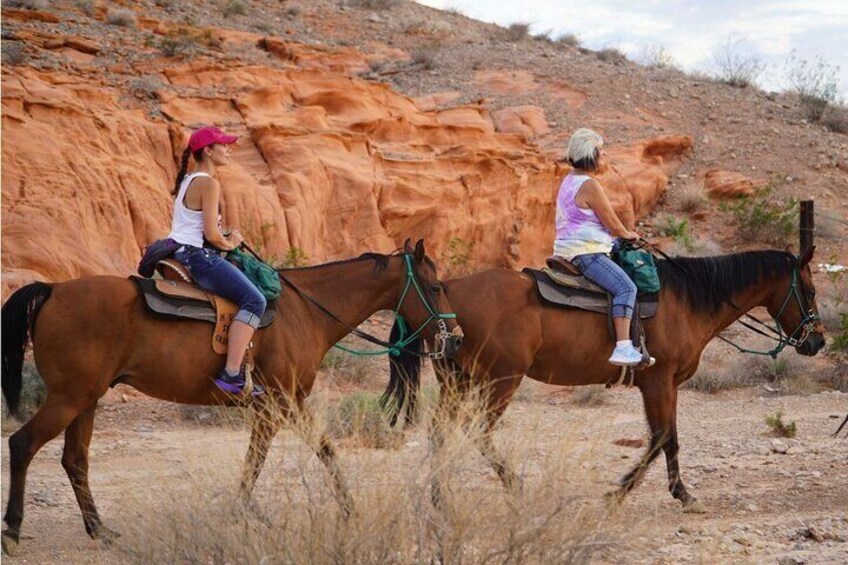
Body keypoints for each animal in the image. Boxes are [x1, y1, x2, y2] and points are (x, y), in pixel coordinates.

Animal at [1, 238, 464, 556]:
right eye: (435, 287)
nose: (457, 339)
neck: (306, 311)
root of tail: (54, 289)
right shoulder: (283, 402)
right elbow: (305, 453)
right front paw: (345, 508)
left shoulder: (275, 406)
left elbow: (275, 456)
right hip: (68, 398)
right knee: (22, 444)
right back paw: (13, 531)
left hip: (86, 400)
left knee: (75, 460)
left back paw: (100, 530)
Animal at [382, 247, 820, 512]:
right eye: (812, 291)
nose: (817, 340)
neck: (685, 300)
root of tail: (448, 289)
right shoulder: (657, 381)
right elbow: (662, 438)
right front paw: (632, 491)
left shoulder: (668, 385)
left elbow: (668, 438)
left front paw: (672, 492)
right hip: (500, 381)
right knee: (479, 432)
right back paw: (514, 488)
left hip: (458, 381)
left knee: (442, 430)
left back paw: (440, 495)